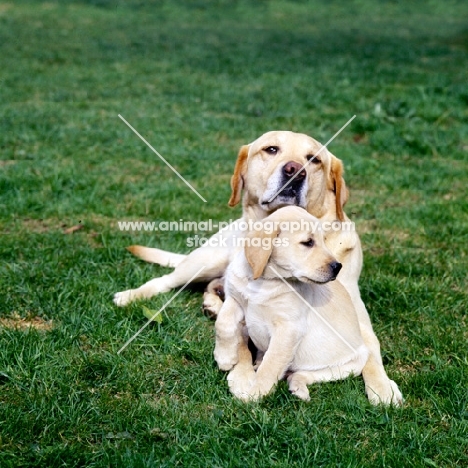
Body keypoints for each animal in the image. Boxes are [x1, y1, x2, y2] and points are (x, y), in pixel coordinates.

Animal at [213, 208, 370, 402]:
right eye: (308, 242)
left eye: (324, 240)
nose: (337, 267)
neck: (265, 281)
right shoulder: (236, 299)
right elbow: (222, 322)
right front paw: (224, 357)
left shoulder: (289, 328)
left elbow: (271, 365)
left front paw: (256, 394)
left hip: (349, 365)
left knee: (302, 374)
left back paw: (298, 387)